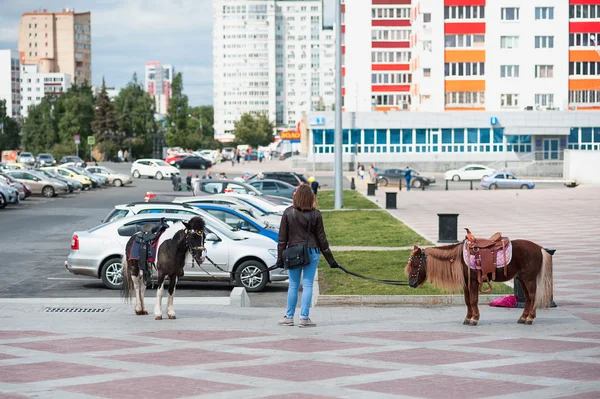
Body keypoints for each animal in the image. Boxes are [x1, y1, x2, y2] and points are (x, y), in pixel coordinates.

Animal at [406, 239, 556, 326]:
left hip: (528, 279)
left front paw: (474, 319)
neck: (460, 258)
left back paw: (530, 318)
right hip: (522, 279)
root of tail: (539, 248)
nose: (411, 283)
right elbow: (468, 301)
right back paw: (523, 317)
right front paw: (468, 318)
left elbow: (473, 300)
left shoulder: (472, 282)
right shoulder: (466, 284)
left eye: (414, 264)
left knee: (532, 297)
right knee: (528, 298)